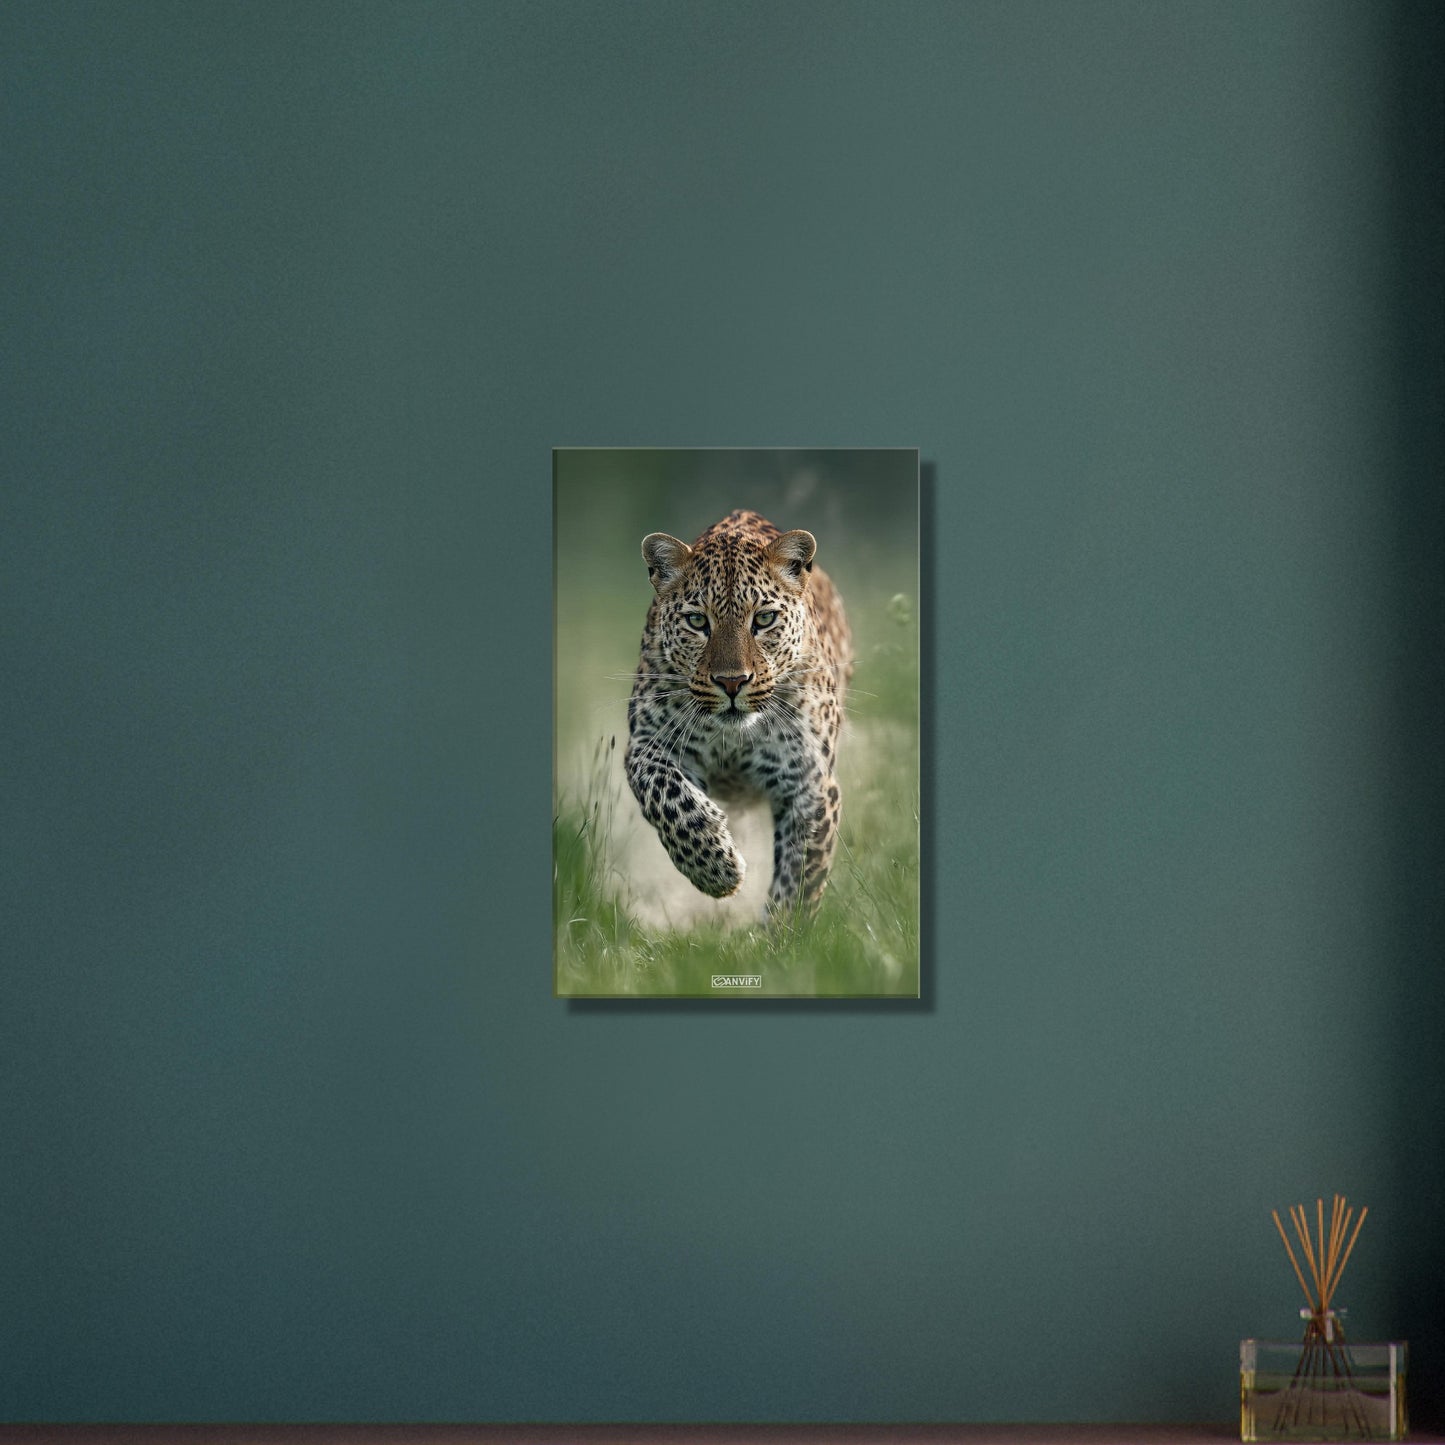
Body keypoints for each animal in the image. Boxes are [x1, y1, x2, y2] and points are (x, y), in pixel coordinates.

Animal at [625, 508, 853, 921]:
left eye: (763, 619)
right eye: (697, 622)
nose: (732, 682)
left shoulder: (809, 783)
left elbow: (800, 877)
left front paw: (782, 934)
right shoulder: (646, 744)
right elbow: (667, 797)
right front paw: (718, 870)